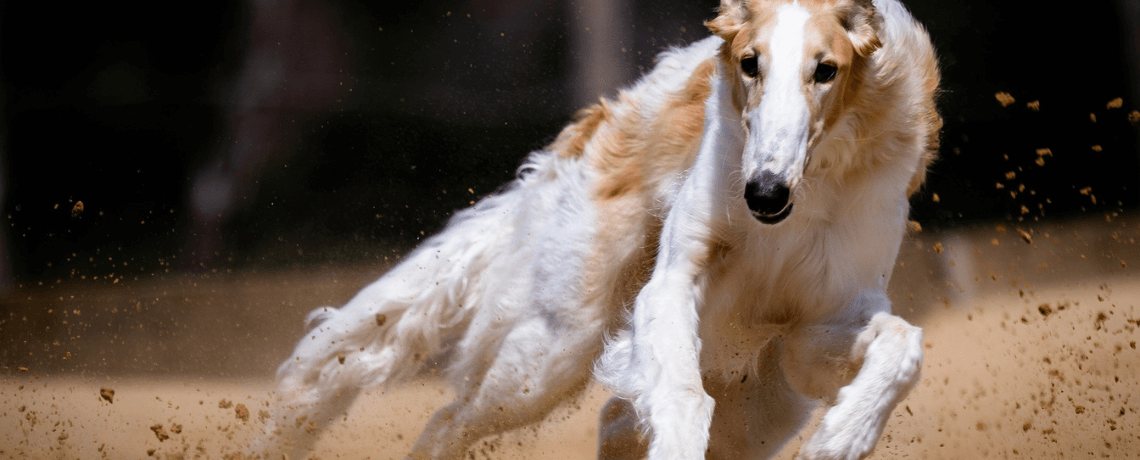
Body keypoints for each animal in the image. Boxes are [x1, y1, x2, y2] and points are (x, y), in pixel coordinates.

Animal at [254, 0, 939, 457]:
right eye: (750, 63)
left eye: (826, 70)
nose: (764, 192)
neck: (807, 194)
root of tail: (608, 116)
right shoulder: (672, 285)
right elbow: (683, 397)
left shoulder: (815, 329)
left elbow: (904, 343)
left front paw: (842, 436)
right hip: (550, 353)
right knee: (447, 424)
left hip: (760, 403)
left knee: (615, 416)